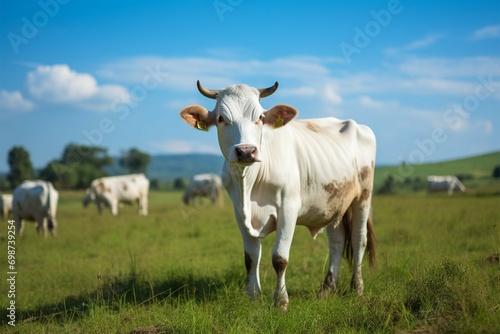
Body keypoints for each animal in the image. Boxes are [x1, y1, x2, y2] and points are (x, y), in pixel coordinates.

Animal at [179, 81, 376, 310]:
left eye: (260, 117)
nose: (246, 151)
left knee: (359, 239)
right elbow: (251, 257)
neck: (249, 184)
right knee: (336, 241)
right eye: (221, 118)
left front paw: (281, 301)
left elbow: (279, 258)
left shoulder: (288, 209)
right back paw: (327, 289)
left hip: (363, 197)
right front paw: (253, 296)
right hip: (333, 202)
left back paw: (357, 288)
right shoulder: (239, 213)